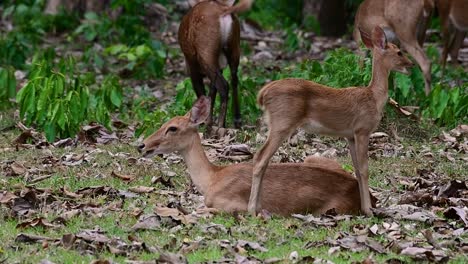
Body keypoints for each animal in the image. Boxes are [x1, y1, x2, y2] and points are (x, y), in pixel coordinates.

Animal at [138, 97, 370, 217]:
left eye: (173, 128)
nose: (142, 145)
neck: (212, 179)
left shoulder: (233, 205)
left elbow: (198, 209)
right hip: (314, 157)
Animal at [178, 0, 252, 129]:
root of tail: (224, 11)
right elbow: (212, 92)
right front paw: (208, 121)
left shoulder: (192, 66)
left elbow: (201, 92)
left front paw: (203, 122)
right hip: (235, 48)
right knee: (234, 79)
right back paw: (236, 119)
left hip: (206, 54)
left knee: (223, 86)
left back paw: (220, 126)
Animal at [249, 26, 414, 217]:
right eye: (399, 52)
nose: (411, 64)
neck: (374, 97)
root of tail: (263, 94)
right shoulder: (362, 129)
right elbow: (364, 169)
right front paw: (368, 210)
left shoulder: (350, 135)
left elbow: (357, 170)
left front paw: (365, 208)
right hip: (283, 122)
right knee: (260, 157)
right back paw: (252, 210)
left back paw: (259, 208)